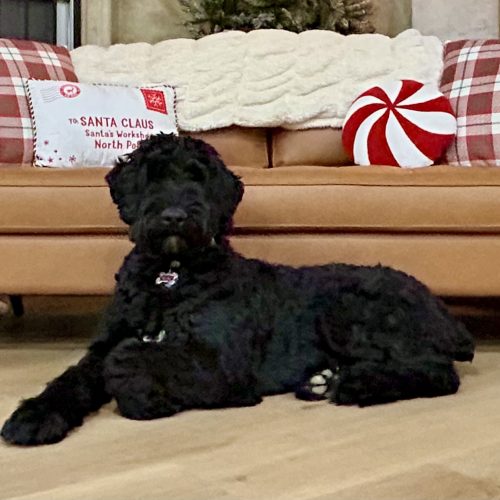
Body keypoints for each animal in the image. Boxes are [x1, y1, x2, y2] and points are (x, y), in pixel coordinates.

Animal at [1, 133, 474, 445]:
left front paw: (141, 394)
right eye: (153, 176)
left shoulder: (221, 362)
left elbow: (132, 356)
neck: (170, 276)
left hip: (348, 310)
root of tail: (443, 313)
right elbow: (75, 376)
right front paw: (35, 415)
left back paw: (356, 384)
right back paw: (326, 378)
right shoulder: (104, 343)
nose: (174, 216)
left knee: (438, 372)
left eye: (198, 177)